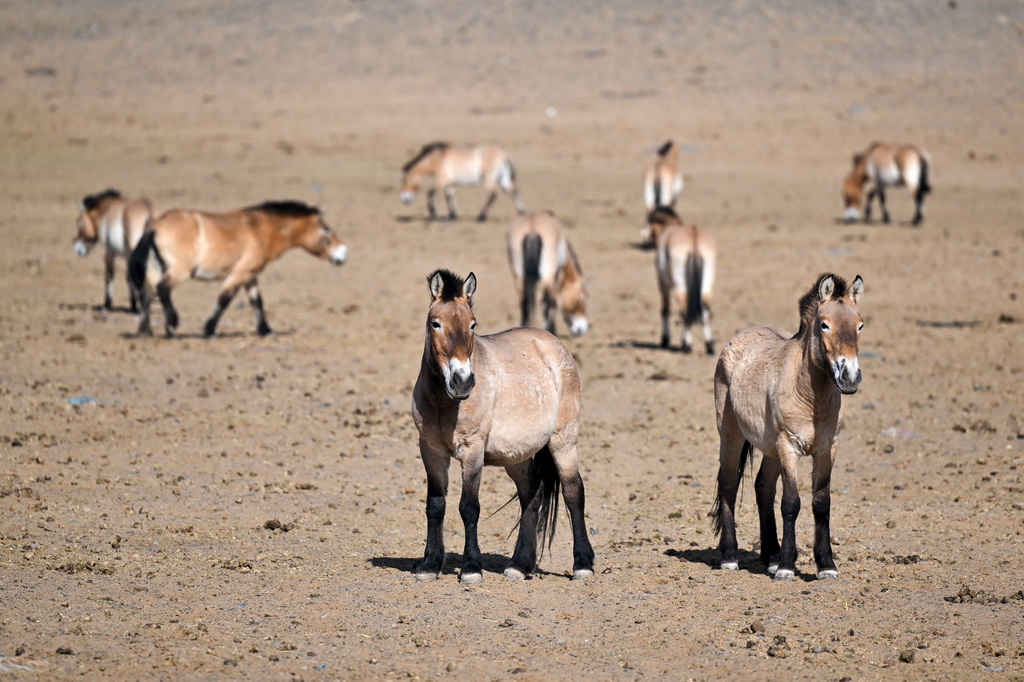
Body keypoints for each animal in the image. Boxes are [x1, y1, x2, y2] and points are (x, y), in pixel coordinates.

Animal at [128, 200, 347, 338]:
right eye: (326, 229)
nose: (343, 254)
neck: (259, 229)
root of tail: (156, 225)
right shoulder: (239, 274)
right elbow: (224, 299)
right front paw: (209, 330)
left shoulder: (250, 276)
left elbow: (257, 302)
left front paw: (266, 331)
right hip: (180, 271)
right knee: (162, 289)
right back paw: (171, 326)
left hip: (155, 269)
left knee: (147, 293)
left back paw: (145, 331)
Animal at [410, 269, 595, 584]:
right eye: (435, 323)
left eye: (473, 324)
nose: (462, 381)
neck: (443, 402)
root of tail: (552, 343)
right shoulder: (430, 450)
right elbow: (435, 504)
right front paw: (429, 565)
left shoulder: (472, 451)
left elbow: (469, 507)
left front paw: (471, 568)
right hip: (517, 457)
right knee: (531, 496)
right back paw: (519, 564)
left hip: (563, 442)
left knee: (573, 492)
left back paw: (582, 564)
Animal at [647, 207, 716, 353]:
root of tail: (694, 238)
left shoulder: (663, 284)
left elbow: (665, 309)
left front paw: (665, 340)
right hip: (707, 285)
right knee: (705, 310)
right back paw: (709, 345)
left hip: (679, 286)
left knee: (684, 309)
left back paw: (687, 345)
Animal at [711, 273, 864, 582]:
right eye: (824, 324)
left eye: (860, 325)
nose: (850, 377)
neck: (809, 396)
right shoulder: (789, 447)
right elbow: (791, 502)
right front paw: (786, 568)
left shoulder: (827, 450)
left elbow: (821, 503)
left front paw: (825, 565)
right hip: (732, 436)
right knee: (729, 484)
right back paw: (730, 557)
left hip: (769, 449)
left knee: (763, 488)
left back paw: (770, 556)